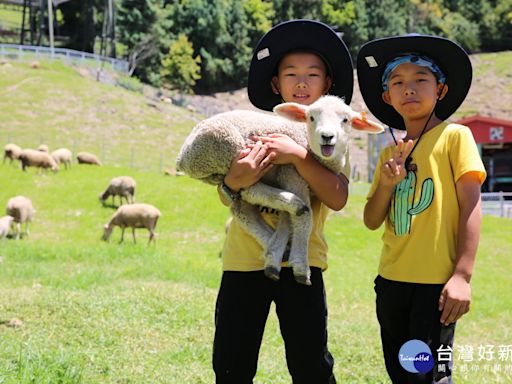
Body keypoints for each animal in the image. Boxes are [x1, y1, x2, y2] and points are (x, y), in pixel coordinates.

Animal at [178, 94, 382, 284]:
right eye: (311, 117)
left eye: (346, 120)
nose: (327, 137)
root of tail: (181, 157)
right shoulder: (292, 172)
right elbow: (305, 219)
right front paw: (300, 265)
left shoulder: (298, 183)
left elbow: (287, 220)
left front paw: (275, 254)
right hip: (227, 149)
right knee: (249, 190)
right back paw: (292, 206)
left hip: (217, 170)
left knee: (242, 210)